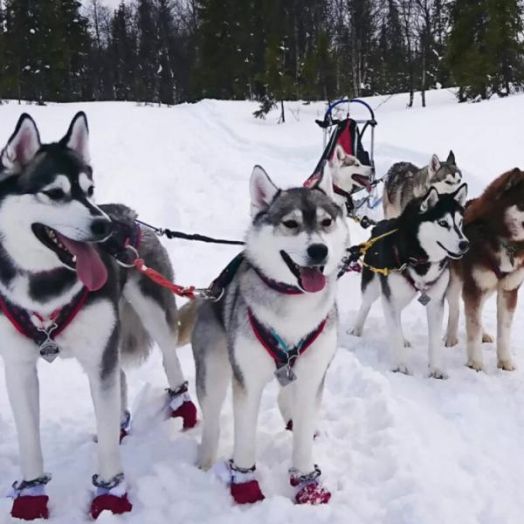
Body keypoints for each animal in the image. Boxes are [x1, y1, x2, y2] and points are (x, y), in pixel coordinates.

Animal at [0, 112, 195, 516]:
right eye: (55, 193)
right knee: (118, 376)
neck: (46, 287)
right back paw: (120, 422)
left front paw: (110, 495)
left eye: (89, 190)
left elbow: (106, 447)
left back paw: (181, 406)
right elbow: (29, 441)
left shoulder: (98, 355)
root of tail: (129, 214)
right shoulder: (19, 368)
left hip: (153, 313)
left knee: (169, 360)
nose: (103, 226)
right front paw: (31, 494)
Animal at [188, 166, 348, 506]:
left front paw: (307, 483)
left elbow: (303, 439)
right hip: (214, 368)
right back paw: (205, 458)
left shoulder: (313, 376)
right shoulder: (246, 381)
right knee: (211, 418)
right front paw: (244, 483)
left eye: (326, 222)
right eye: (291, 224)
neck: (294, 306)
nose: (319, 250)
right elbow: (244, 439)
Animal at [352, 184, 466, 376]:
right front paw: (400, 366)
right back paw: (356, 329)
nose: (465, 244)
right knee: (366, 305)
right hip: (373, 287)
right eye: (443, 223)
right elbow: (394, 331)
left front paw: (436, 368)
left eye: (459, 223)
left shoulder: (435, 302)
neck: (420, 260)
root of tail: (379, 225)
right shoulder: (390, 297)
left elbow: (434, 339)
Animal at [444, 170, 524, 370]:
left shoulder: (508, 290)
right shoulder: (474, 287)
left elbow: (504, 331)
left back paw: (484, 333)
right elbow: (472, 326)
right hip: (455, 283)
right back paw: (451, 337)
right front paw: (475, 362)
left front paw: (505, 361)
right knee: (456, 309)